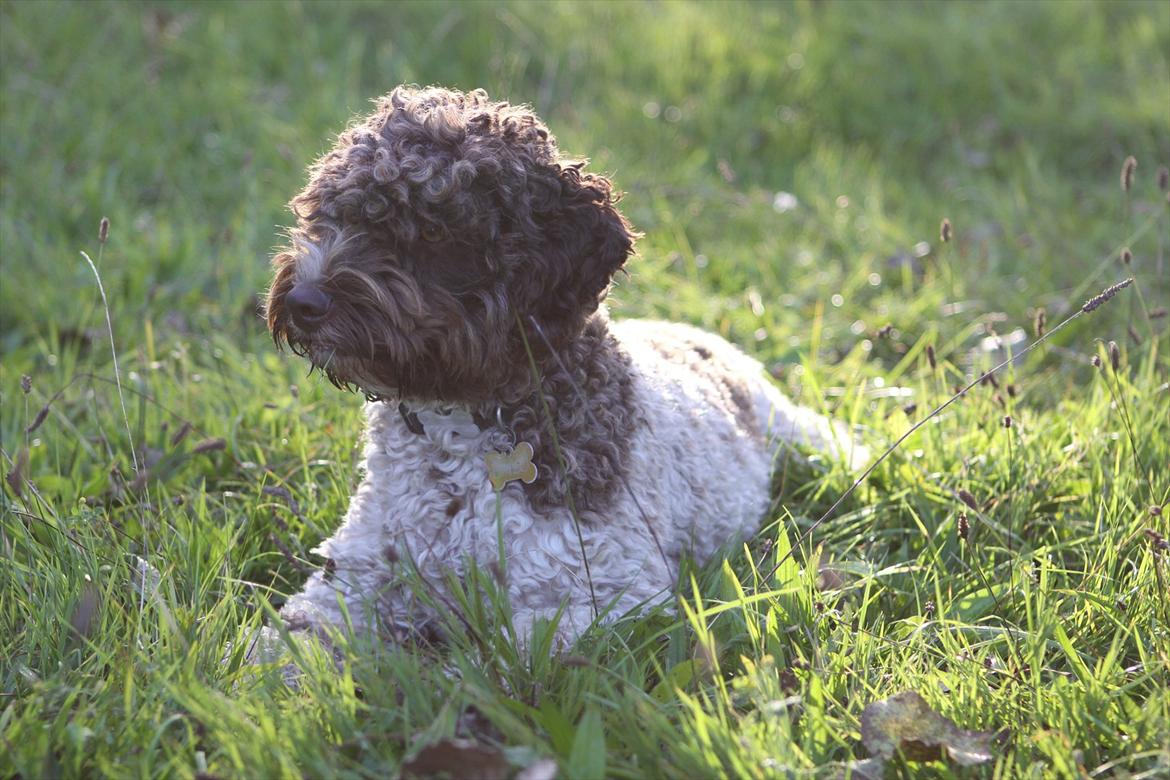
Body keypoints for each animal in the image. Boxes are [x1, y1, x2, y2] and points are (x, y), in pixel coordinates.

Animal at [267, 84, 870, 645]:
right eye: (332, 214)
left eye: (433, 230)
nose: (303, 303)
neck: (462, 422)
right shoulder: (357, 571)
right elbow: (292, 642)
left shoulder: (606, 595)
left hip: (801, 437)